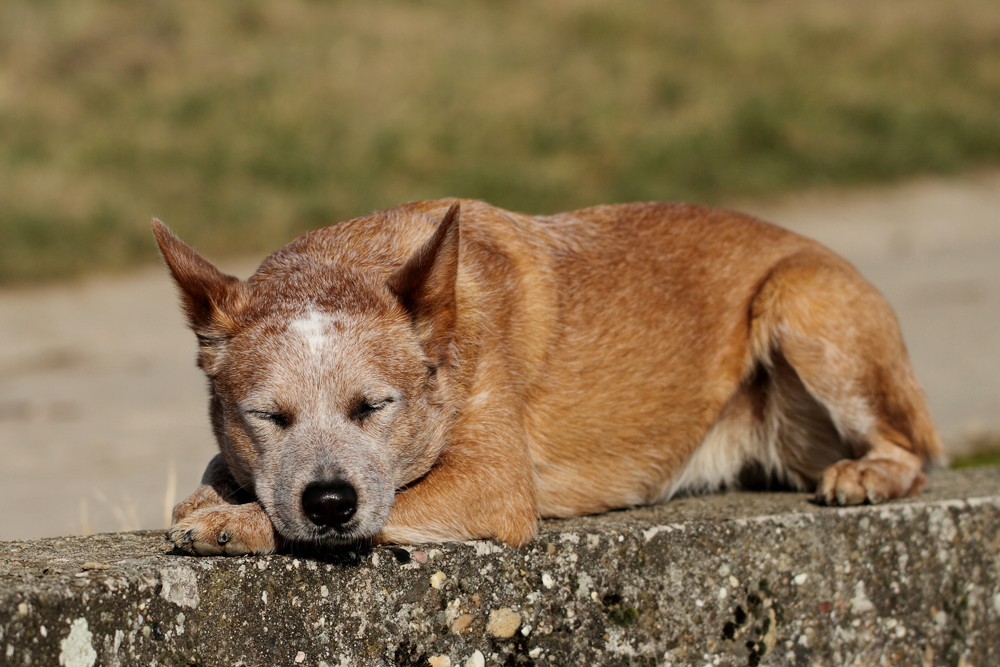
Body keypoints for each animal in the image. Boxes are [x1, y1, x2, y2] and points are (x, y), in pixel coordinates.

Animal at [156, 200, 944, 560]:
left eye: (374, 405)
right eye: (268, 416)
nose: (328, 501)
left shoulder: (494, 483)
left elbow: (389, 503)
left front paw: (237, 519)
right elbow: (217, 468)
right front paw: (220, 494)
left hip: (799, 296)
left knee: (914, 451)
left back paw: (870, 473)